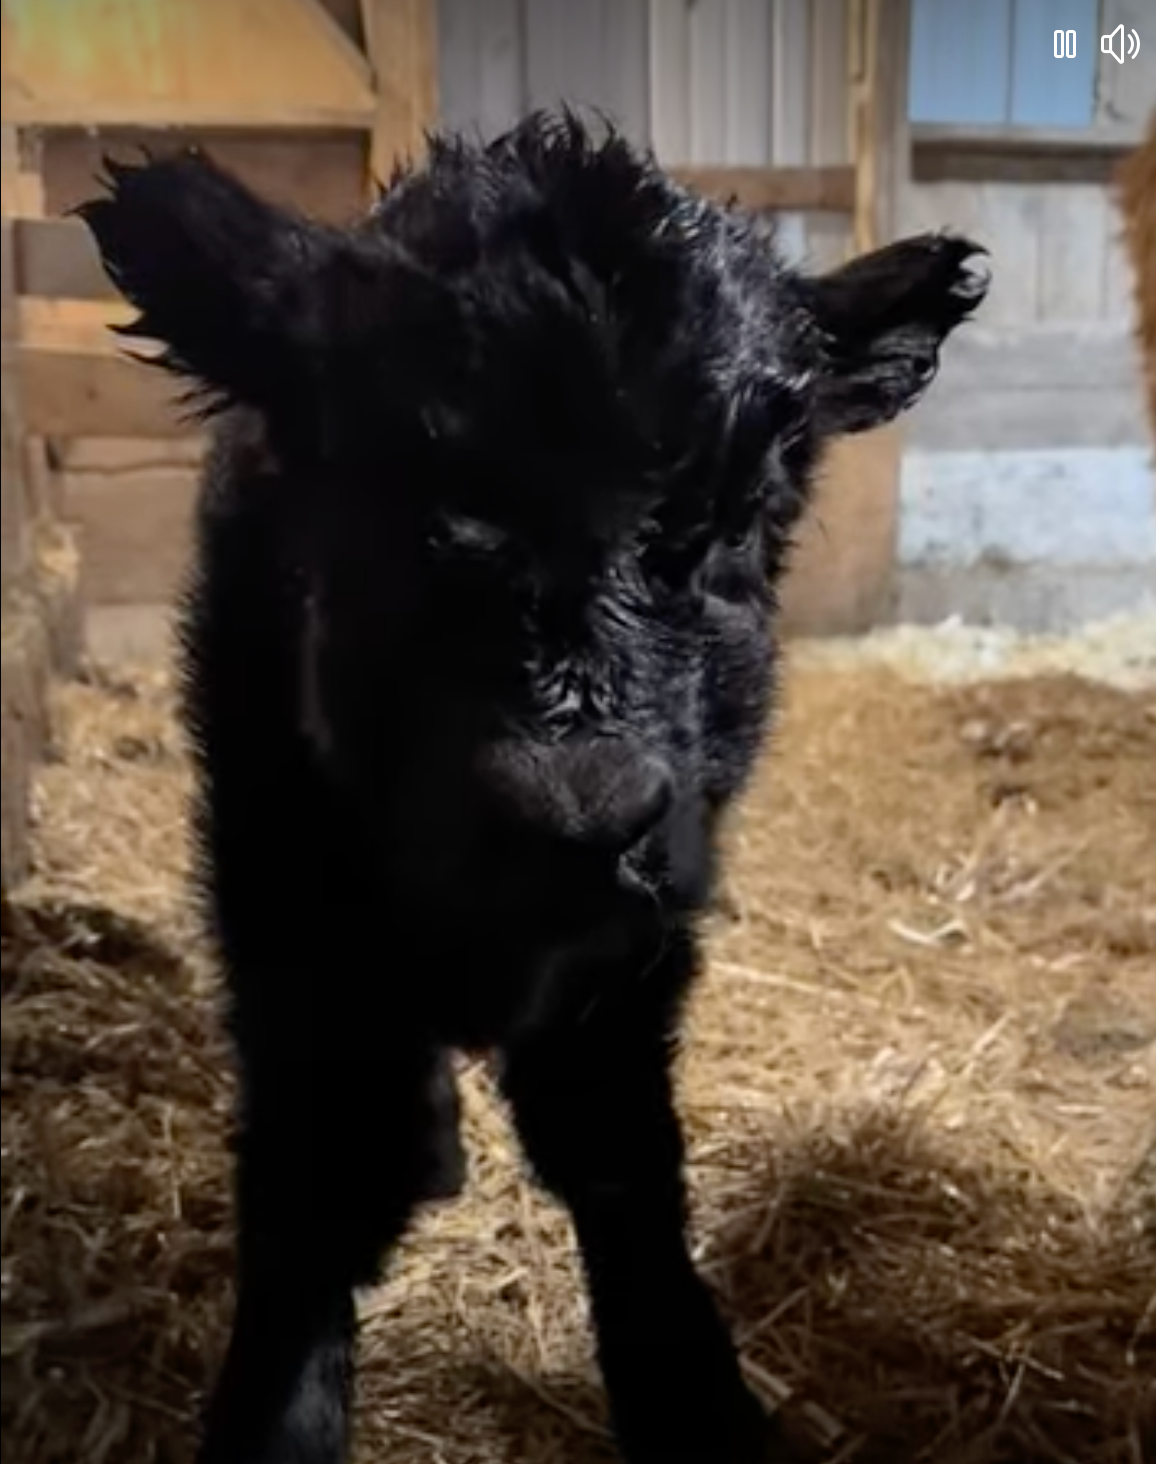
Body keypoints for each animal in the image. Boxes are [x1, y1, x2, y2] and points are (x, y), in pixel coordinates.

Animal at [79, 110, 988, 1464]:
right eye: (381, 500)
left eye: (737, 513)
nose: (575, 804)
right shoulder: (285, 889)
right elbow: (321, 1165)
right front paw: (278, 1413)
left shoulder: (637, 942)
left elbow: (615, 1148)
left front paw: (695, 1400)